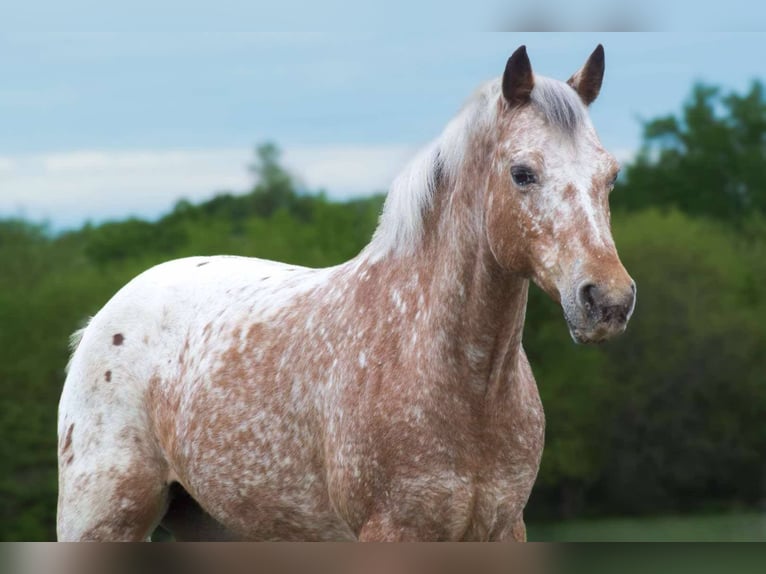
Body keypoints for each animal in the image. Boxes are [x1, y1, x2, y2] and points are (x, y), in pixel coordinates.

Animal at [57, 44, 636, 541]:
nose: (607, 301)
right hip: (100, 523)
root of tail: (101, 322)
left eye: (611, 175)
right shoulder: (392, 532)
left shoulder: (503, 530)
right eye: (522, 173)